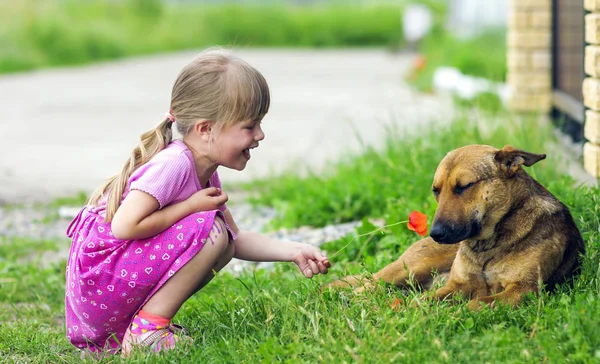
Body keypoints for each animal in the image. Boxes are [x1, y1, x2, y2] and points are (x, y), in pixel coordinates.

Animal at [328, 144, 584, 308]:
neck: (488, 245)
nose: (436, 234)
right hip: (408, 269)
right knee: (365, 284)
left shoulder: (524, 289)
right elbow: (423, 302)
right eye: (436, 190)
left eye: (464, 186)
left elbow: (476, 305)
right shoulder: (457, 285)